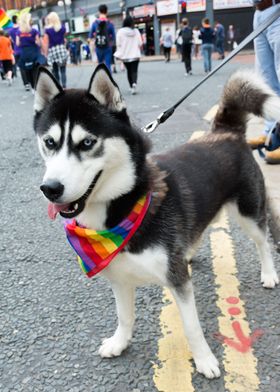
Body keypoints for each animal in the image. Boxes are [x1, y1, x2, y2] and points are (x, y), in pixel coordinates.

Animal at [34, 66, 278, 378]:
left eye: (87, 142)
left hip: (248, 211)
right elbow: (124, 316)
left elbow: (192, 326)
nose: (50, 188)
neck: (122, 211)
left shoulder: (177, 280)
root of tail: (226, 132)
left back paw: (269, 273)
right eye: (49, 142)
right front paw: (120, 343)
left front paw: (205, 360)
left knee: (262, 241)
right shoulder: (119, 276)